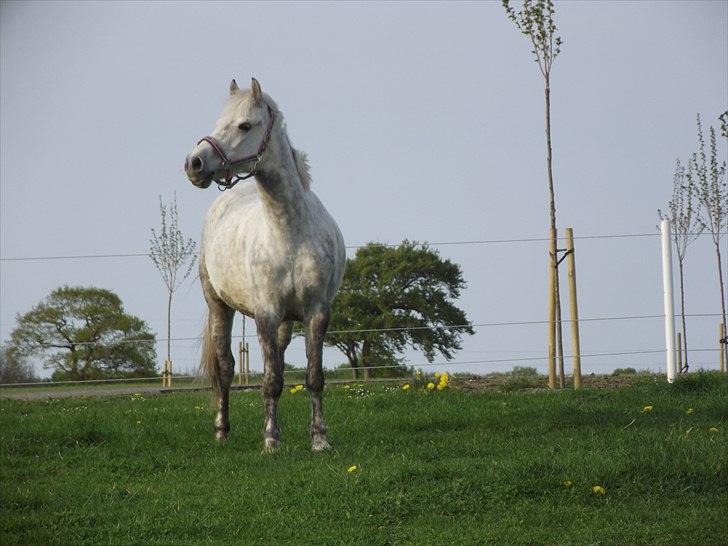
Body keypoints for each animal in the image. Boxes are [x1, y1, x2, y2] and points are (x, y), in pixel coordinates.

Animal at [186, 77, 348, 450]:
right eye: (219, 122)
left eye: (245, 125)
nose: (194, 164)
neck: (288, 233)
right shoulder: (266, 315)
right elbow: (271, 382)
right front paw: (271, 441)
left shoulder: (317, 313)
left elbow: (313, 377)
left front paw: (319, 440)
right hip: (219, 306)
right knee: (226, 367)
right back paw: (222, 431)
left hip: (285, 324)